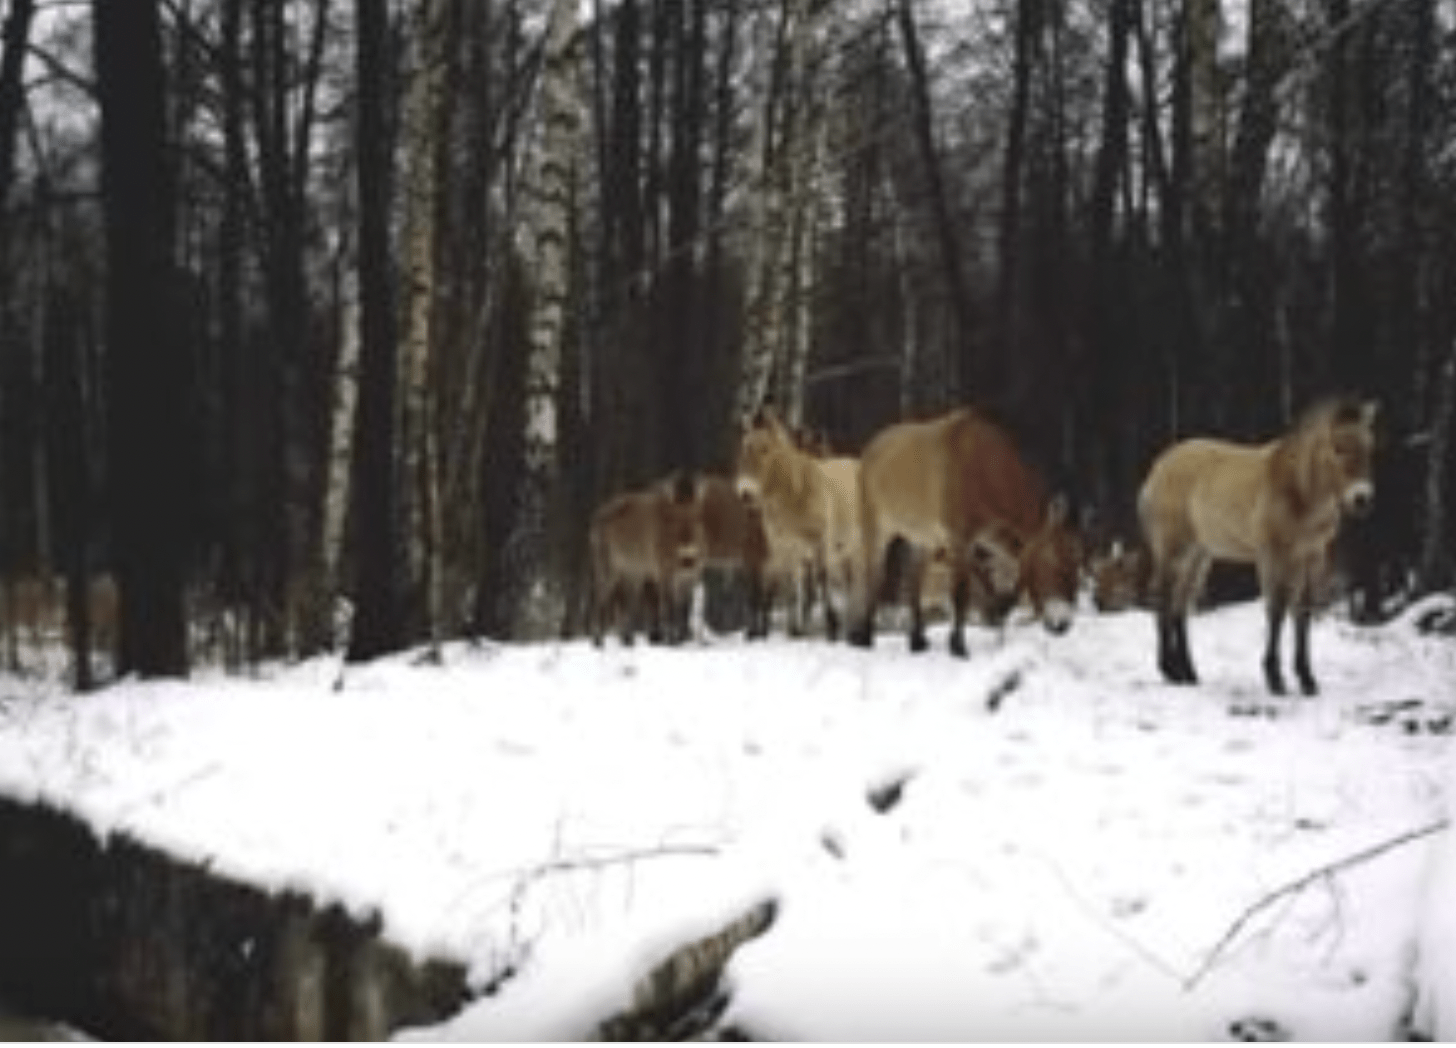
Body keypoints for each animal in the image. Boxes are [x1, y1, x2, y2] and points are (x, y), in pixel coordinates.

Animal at [588, 474, 707, 646]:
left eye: (696, 513)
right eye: (673, 515)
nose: (687, 545)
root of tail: (599, 515)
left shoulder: (691, 574)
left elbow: (684, 606)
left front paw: (682, 637)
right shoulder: (664, 573)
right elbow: (668, 604)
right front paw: (671, 639)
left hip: (632, 572)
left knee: (627, 602)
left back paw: (628, 639)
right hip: (607, 568)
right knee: (601, 599)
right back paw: (598, 641)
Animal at [733, 410, 856, 637]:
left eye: (765, 449)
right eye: (744, 447)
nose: (746, 493)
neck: (797, 493)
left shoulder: (820, 543)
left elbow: (821, 578)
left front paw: (832, 624)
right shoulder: (784, 548)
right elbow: (789, 585)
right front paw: (793, 630)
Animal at [844, 407, 1083, 655]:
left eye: (1078, 562)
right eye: (1056, 561)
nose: (1063, 624)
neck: (982, 466)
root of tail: (872, 448)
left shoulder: (992, 536)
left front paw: (999, 610)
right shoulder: (959, 539)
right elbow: (961, 592)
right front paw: (958, 645)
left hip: (922, 539)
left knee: (913, 579)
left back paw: (917, 639)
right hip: (877, 528)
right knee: (873, 574)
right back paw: (864, 636)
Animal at [1135, 398, 1374, 695]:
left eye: (1370, 446)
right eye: (1338, 448)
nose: (1361, 498)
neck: (1296, 490)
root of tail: (1157, 468)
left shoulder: (1311, 557)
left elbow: (1303, 613)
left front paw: (1307, 679)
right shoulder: (1273, 557)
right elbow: (1277, 611)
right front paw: (1275, 678)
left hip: (1199, 555)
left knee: (1181, 605)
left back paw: (1188, 673)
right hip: (1173, 551)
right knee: (1163, 599)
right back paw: (1168, 670)